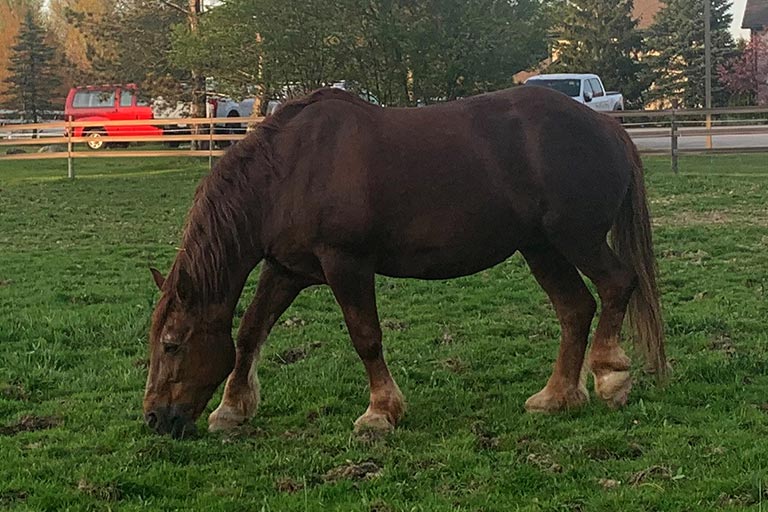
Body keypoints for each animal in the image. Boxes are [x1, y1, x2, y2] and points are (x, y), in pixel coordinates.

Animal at [144, 86, 664, 438]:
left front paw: (380, 412)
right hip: (542, 249)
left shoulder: (346, 265)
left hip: (576, 239)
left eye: (171, 344)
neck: (287, 173)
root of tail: (608, 127)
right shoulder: (287, 270)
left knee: (617, 284)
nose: (154, 418)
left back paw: (611, 377)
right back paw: (557, 397)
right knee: (575, 309)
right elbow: (251, 332)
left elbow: (366, 337)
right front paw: (231, 409)